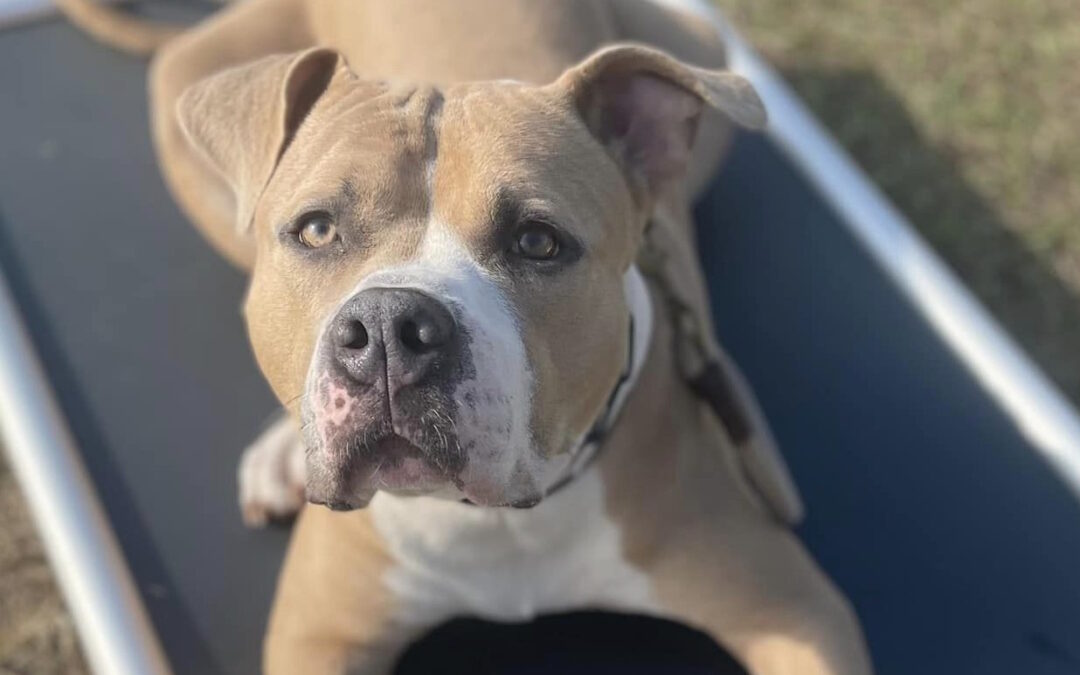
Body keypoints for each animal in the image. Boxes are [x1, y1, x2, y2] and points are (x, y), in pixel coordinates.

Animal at [59, 1, 872, 673]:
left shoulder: (795, 611)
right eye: (316, 229)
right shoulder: (317, 635)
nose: (389, 328)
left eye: (538, 241)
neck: (492, 525)